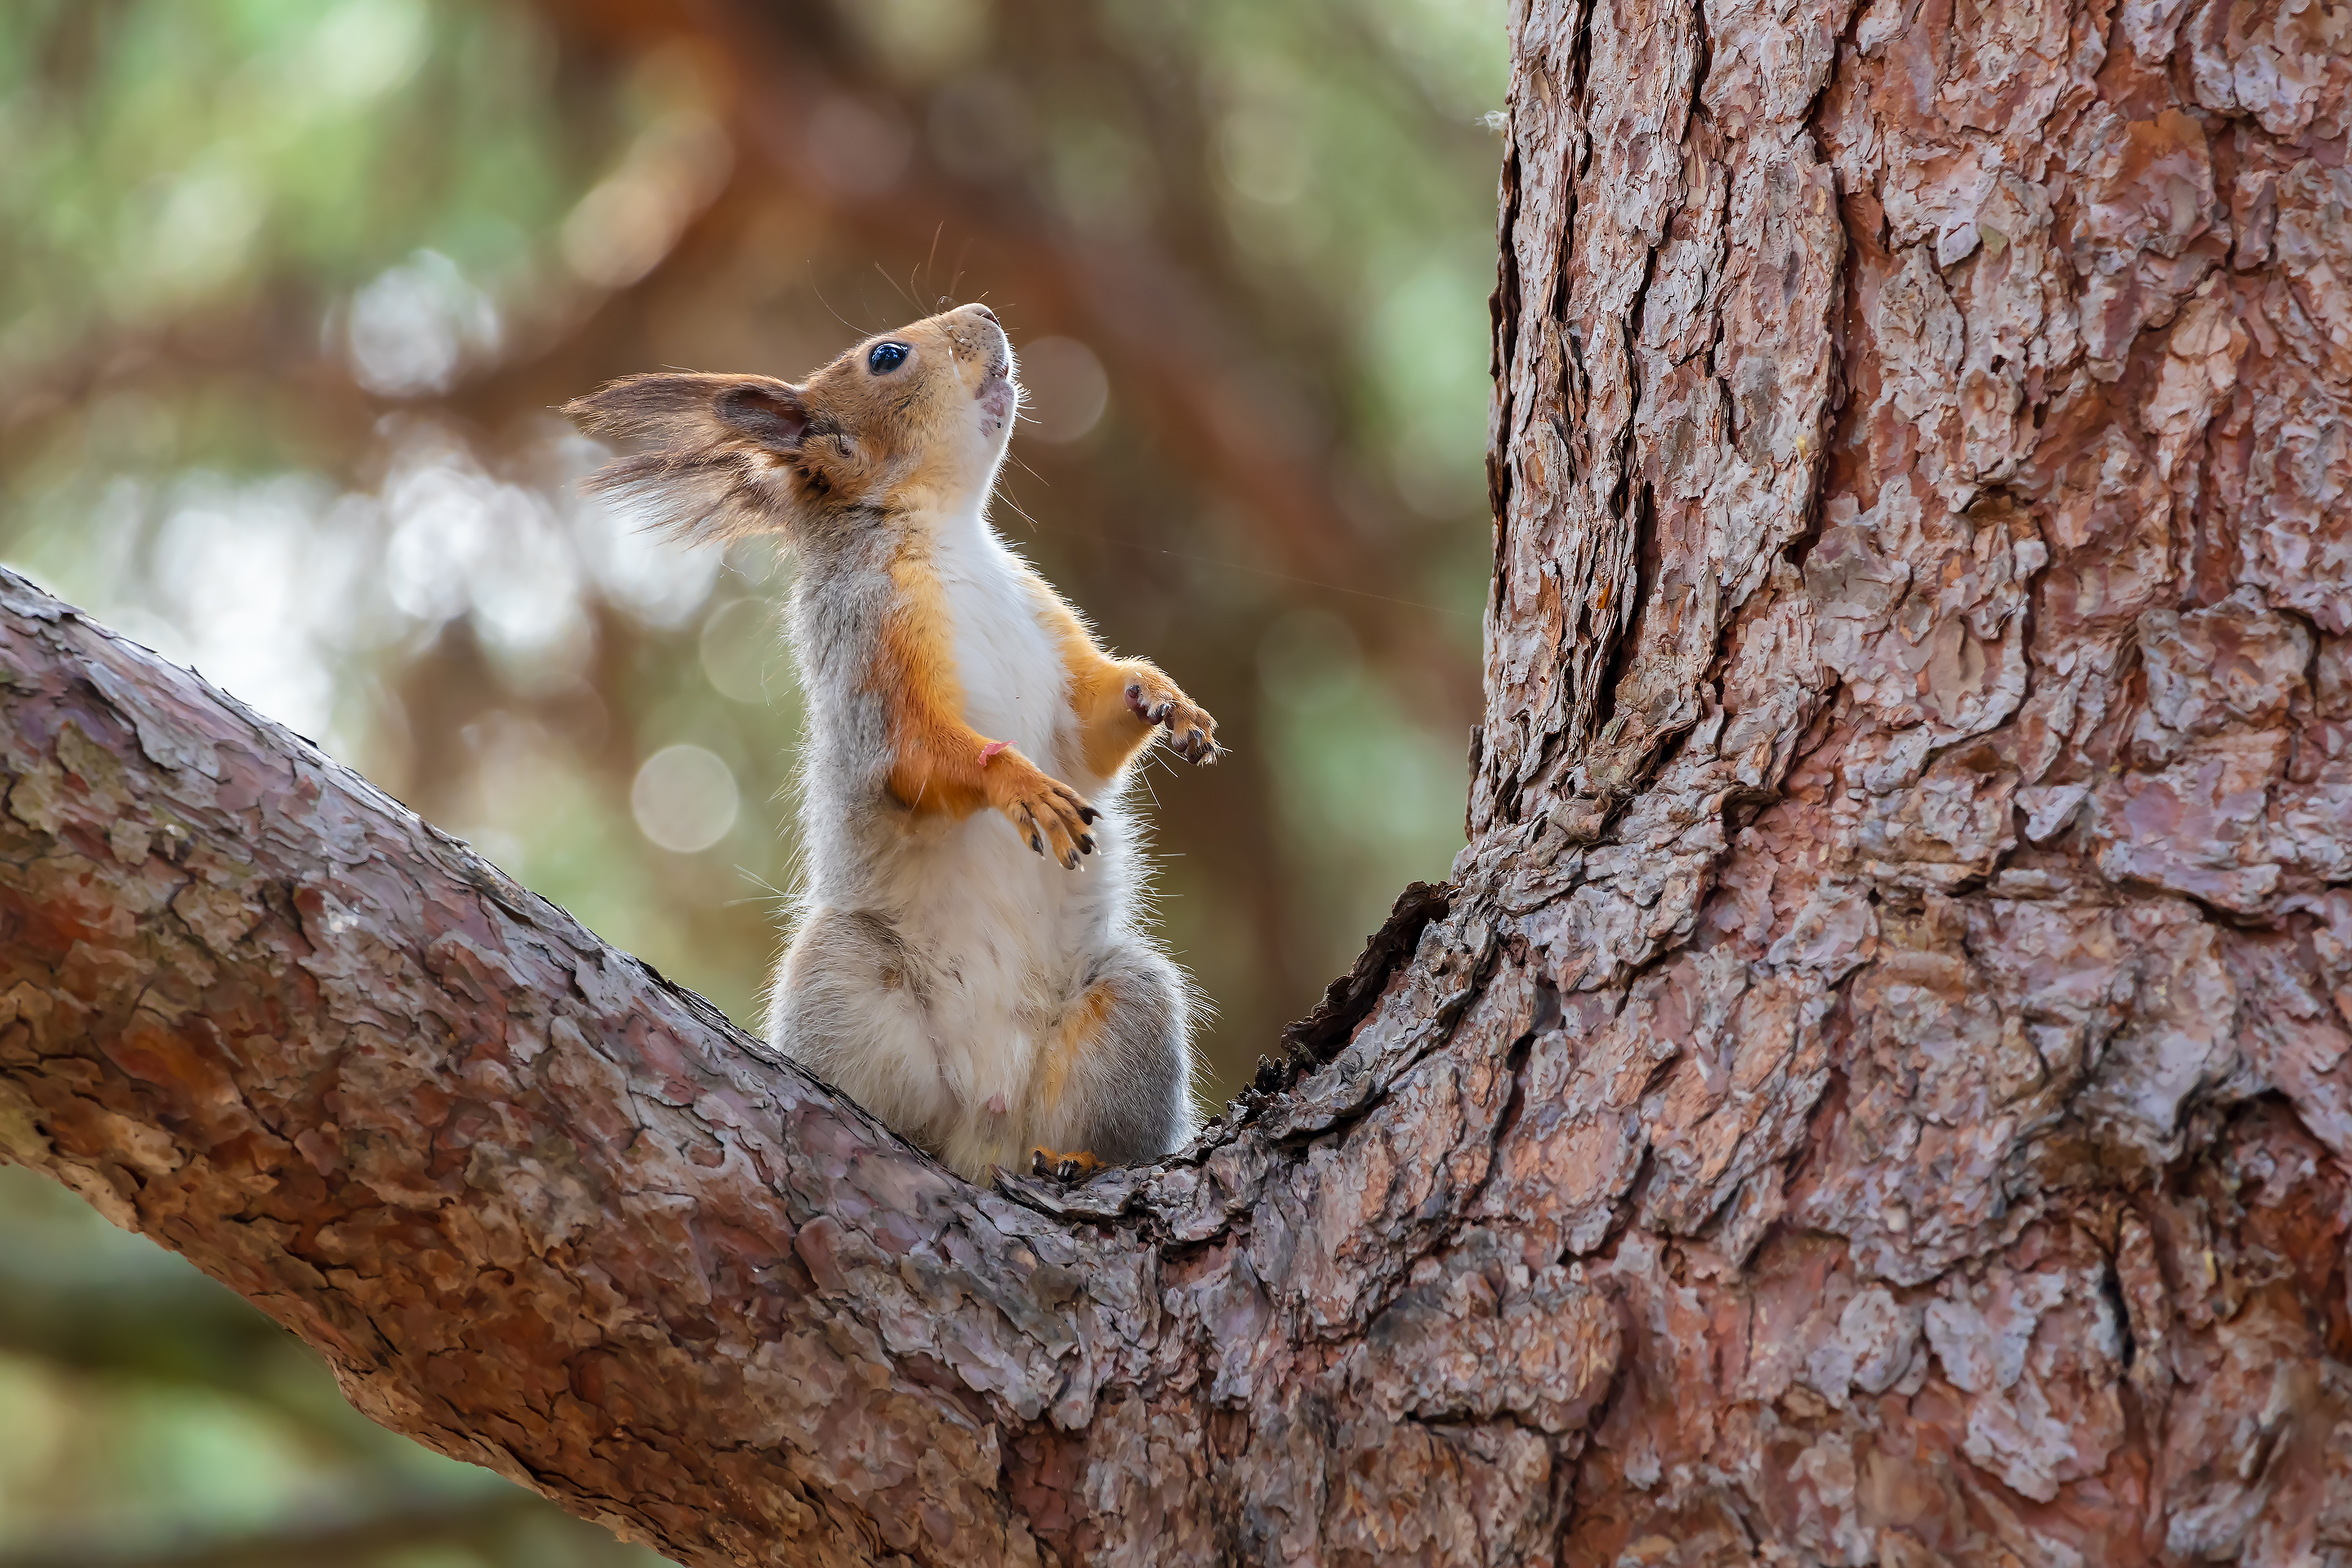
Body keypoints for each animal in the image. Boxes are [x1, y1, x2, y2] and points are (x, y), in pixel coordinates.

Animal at [566, 303, 1216, 1182]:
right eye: (886, 357)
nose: (984, 313)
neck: (949, 530)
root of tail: (987, 1125)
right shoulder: (871, 647)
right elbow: (917, 753)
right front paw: (1020, 786)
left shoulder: (1047, 629)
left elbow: (1092, 726)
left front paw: (1165, 697)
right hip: (845, 981)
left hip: (1129, 1006)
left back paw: (1071, 1160)